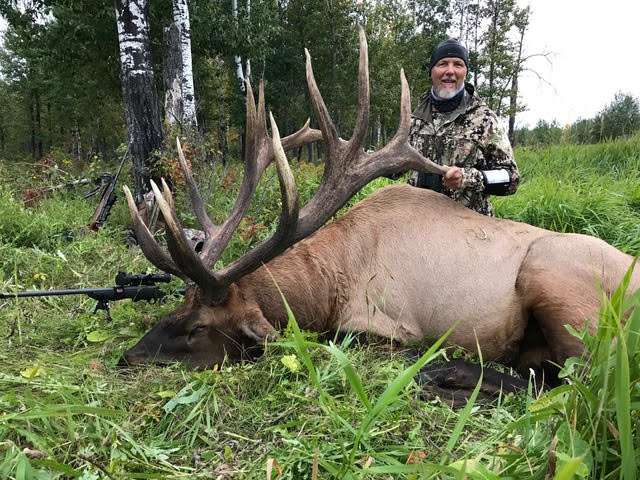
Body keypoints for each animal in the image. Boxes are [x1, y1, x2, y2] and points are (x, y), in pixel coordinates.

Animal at [119, 29, 639, 398]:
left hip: (557, 281)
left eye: (199, 328)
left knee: (581, 383)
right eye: (175, 307)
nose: (129, 357)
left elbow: (342, 339)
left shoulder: (384, 324)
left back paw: (445, 374)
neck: (329, 285)